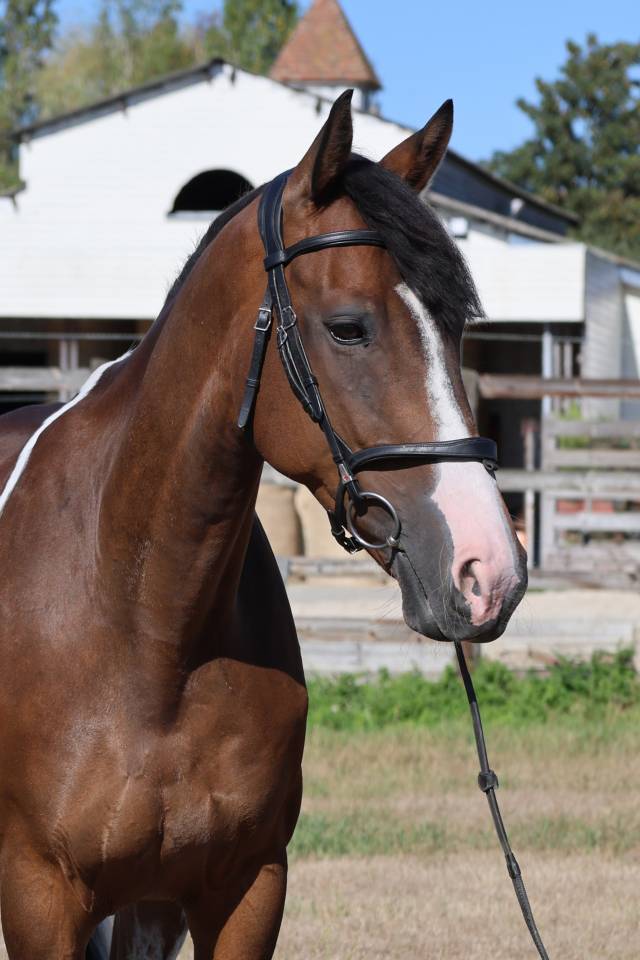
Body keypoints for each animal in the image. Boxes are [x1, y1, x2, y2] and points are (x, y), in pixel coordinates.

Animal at [0, 91, 526, 958]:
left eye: (456, 327)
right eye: (348, 326)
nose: (489, 570)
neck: (146, 622)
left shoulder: (244, 889)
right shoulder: (40, 899)